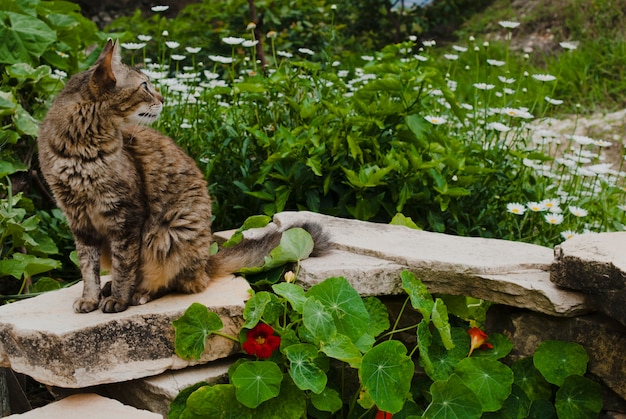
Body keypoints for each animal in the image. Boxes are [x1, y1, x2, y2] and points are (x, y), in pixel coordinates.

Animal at [37, 40, 326, 316]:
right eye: (144, 86)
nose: (163, 98)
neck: (80, 149)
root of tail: (206, 262)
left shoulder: (125, 217)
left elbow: (124, 265)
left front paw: (119, 298)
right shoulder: (80, 221)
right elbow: (88, 268)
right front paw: (90, 298)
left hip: (168, 235)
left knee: (175, 282)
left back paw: (138, 293)